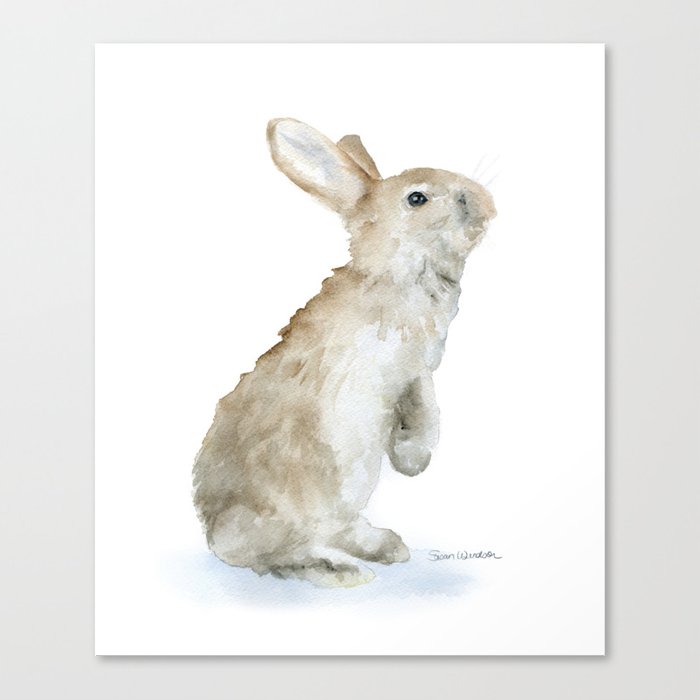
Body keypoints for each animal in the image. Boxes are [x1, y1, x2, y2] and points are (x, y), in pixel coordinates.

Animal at [192, 118, 496, 588]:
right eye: (417, 198)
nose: (484, 202)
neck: (395, 270)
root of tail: (214, 528)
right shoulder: (405, 365)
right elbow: (426, 413)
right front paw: (415, 460)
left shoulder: (417, 371)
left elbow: (423, 406)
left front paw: (411, 461)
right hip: (311, 494)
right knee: (270, 554)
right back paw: (340, 571)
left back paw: (386, 547)